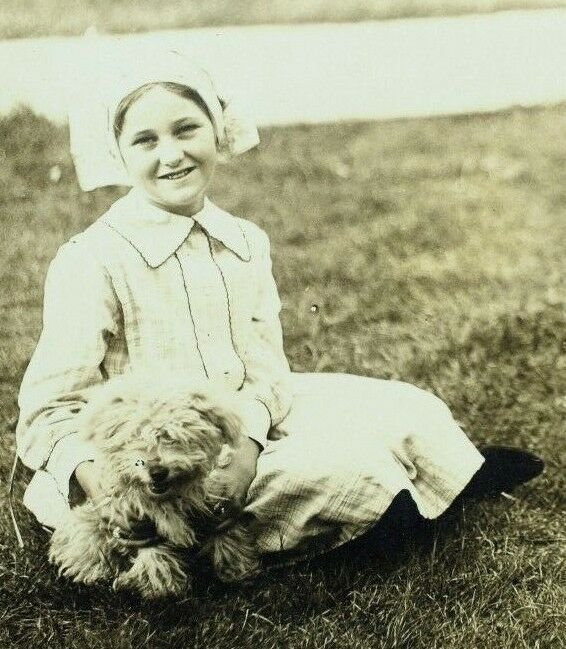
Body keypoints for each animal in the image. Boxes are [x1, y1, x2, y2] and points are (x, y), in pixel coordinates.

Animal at [48, 374, 262, 596]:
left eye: (174, 437)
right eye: (134, 436)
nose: (157, 472)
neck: (169, 497)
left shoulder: (216, 502)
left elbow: (225, 531)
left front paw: (235, 569)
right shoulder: (137, 520)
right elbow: (153, 551)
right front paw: (159, 586)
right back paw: (95, 572)